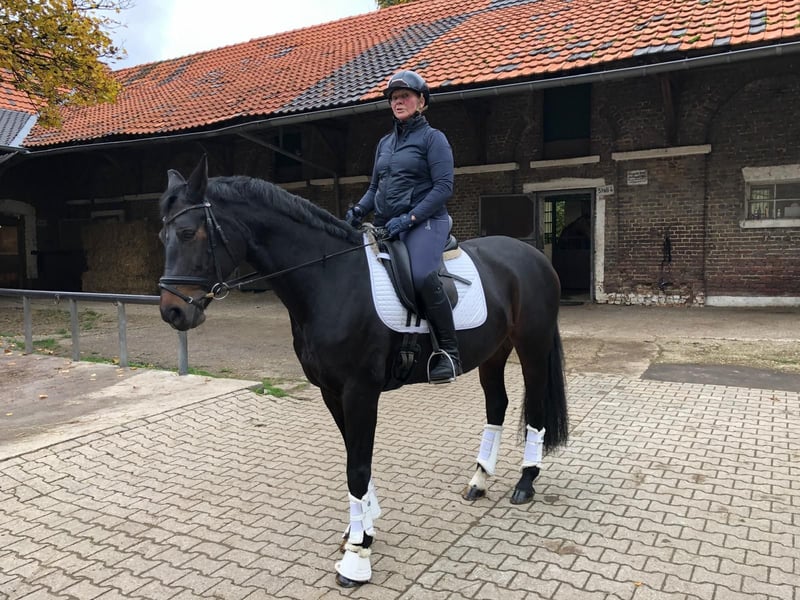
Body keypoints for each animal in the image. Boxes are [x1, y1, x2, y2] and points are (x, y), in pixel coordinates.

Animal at [158, 155, 568, 587]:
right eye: (162, 235)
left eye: (187, 232)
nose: (173, 311)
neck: (329, 280)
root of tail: (534, 258)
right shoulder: (331, 391)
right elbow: (355, 459)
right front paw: (363, 527)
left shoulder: (360, 391)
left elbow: (356, 467)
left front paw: (357, 557)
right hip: (493, 352)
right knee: (497, 406)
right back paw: (479, 481)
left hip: (532, 346)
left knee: (535, 409)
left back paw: (525, 482)